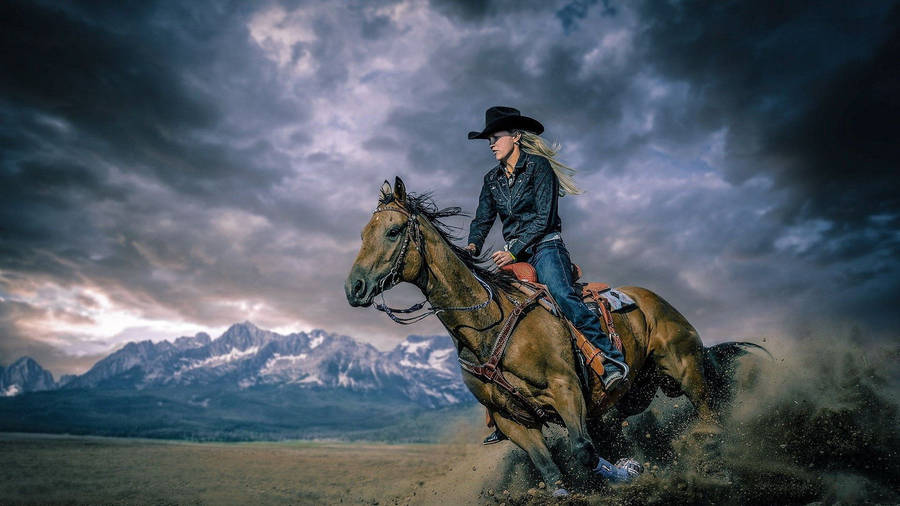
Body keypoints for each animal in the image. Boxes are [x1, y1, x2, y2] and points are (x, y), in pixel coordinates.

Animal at [348, 177, 756, 494]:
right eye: (363, 233)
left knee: (708, 414)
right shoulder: (513, 420)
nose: (354, 287)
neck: (489, 325)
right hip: (634, 393)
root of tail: (654, 301)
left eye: (394, 231)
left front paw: (630, 471)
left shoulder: (565, 389)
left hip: (685, 369)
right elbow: (550, 470)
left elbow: (583, 451)